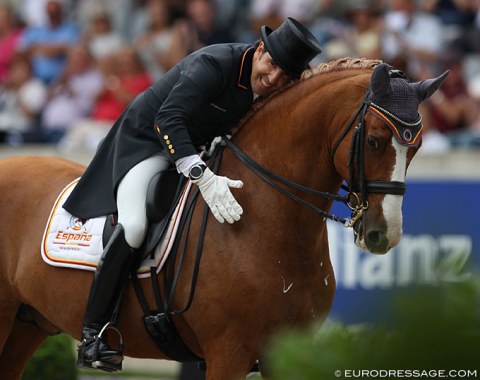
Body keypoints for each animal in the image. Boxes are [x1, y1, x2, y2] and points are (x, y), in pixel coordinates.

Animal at [0, 58, 446, 378]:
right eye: (374, 141)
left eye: (418, 146)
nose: (383, 235)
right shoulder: (229, 353)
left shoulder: (286, 353)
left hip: (28, 324)